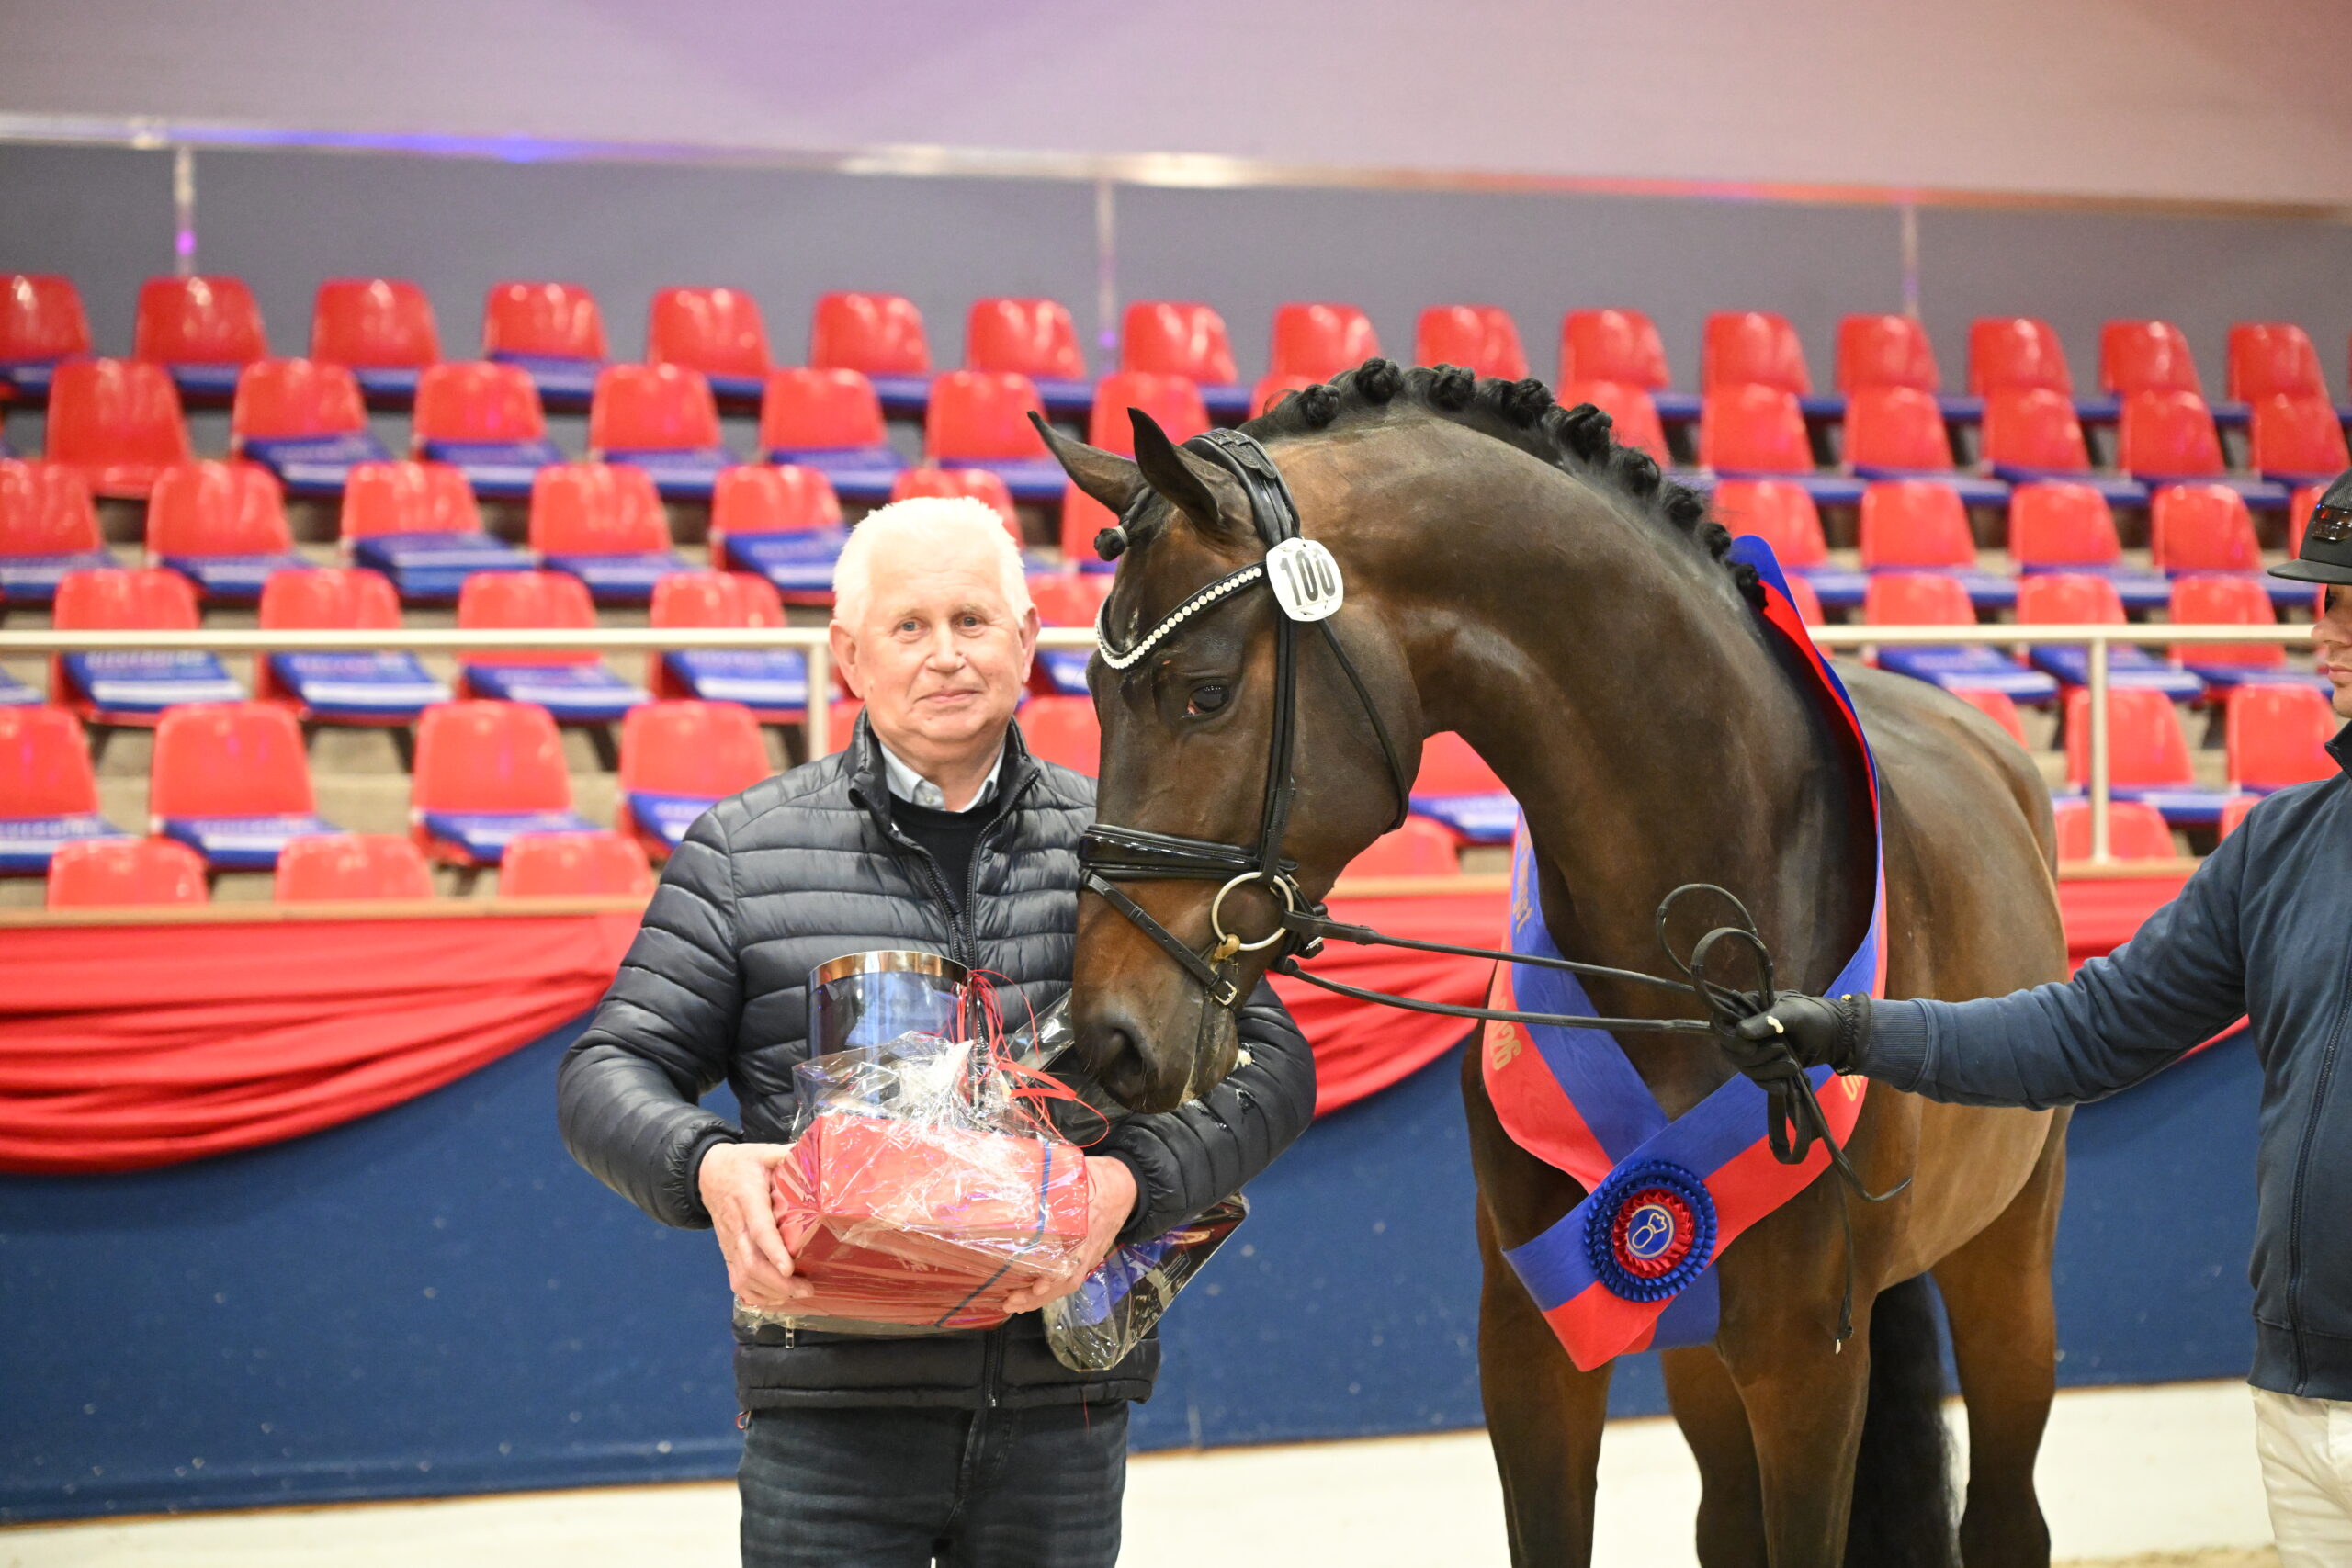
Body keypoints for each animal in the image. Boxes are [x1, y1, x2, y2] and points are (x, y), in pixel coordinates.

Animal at [1041, 360, 2072, 1568]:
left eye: (1202, 692)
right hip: (1698, 1349)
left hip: (2005, 1270)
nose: (1109, 1034)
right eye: (1089, 695)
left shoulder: (1809, 1365)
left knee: (2008, 1512)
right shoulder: (1531, 1345)